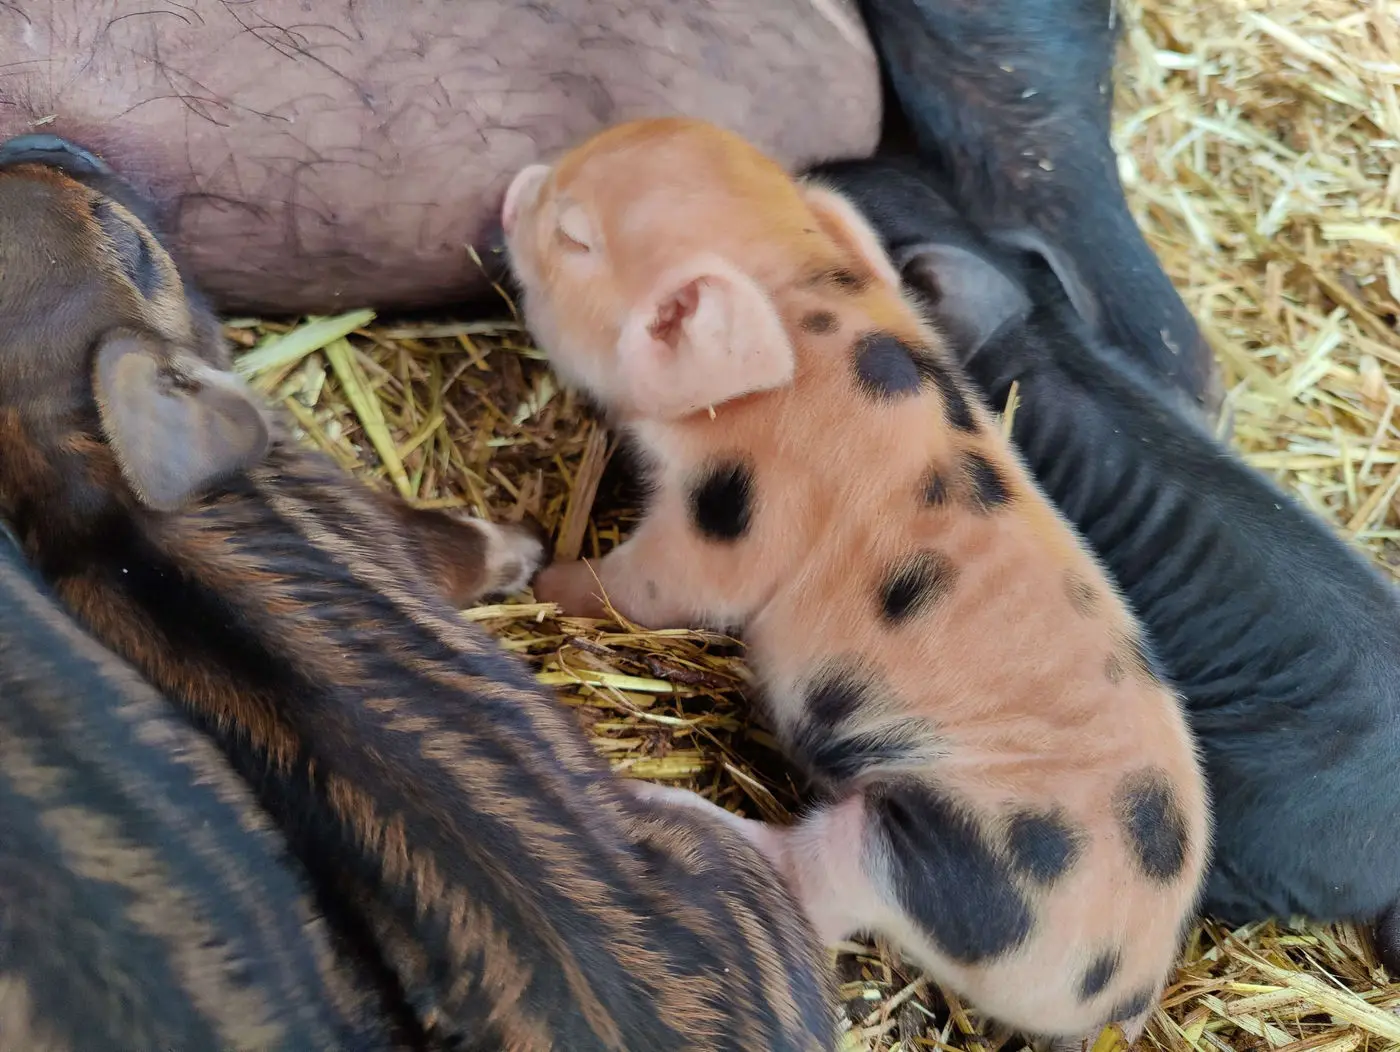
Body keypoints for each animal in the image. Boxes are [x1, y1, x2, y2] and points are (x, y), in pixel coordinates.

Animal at [501, 116, 1212, 1050]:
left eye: (575, 236)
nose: (512, 188)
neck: (805, 298)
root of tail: (1127, 988)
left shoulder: (738, 519)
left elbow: (661, 585)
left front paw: (550, 580)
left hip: (935, 855)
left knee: (819, 887)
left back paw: (671, 810)